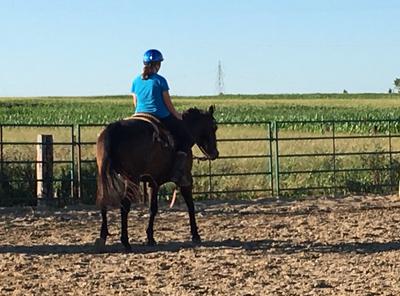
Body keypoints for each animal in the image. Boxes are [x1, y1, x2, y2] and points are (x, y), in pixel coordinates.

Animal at [94, 105, 219, 251]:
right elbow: (190, 205)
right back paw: (125, 241)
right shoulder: (186, 179)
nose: (215, 153)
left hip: (105, 175)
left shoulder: (153, 183)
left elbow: (153, 208)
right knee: (124, 205)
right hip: (132, 179)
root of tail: (114, 128)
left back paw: (102, 237)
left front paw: (150, 237)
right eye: (214, 127)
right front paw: (195, 235)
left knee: (104, 200)